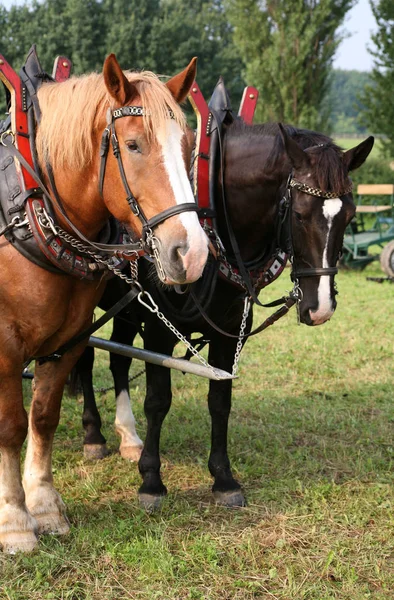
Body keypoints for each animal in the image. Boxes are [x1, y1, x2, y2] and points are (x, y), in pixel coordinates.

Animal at [0, 52, 209, 552]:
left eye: (189, 144)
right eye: (132, 145)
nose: (191, 253)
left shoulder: (69, 338)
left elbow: (43, 417)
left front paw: (44, 506)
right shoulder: (5, 345)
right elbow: (11, 426)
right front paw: (15, 520)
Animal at [74, 122, 372, 510]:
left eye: (349, 216)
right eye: (300, 214)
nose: (319, 308)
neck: (211, 229)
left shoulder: (228, 334)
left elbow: (220, 402)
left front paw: (223, 478)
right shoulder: (158, 330)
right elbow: (158, 401)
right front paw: (151, 481)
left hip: (128, 309)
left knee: (118, 359)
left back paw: (128, 435)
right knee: (84, 358)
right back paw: (93, 434)